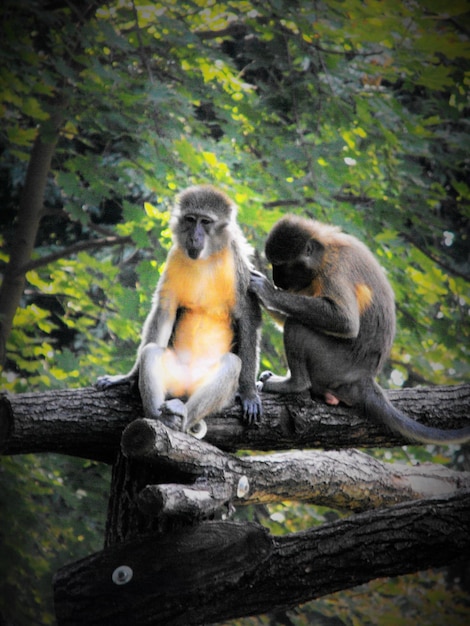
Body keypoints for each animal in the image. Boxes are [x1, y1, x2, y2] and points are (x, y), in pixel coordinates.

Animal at [97, 183, 262, 436]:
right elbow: (165, 310)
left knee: (232, 364)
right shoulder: (175, 256)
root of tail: (186, 387)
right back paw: (160, 417)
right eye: (190, 219)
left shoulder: (236, 262)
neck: (205, 258)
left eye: (205, 222)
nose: (194, 236)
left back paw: (182, 417)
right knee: (151, 352)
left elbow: (248, 315)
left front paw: (249, 393)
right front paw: (128, 377)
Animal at [252, 214, 470, 444]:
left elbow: (345, 322)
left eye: (280, 266)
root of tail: (364, 377)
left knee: (297, 325)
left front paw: (267, 292)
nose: (276, 279)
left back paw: (296, 384)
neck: (325, 250)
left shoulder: (335, 267)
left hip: (334, 366)